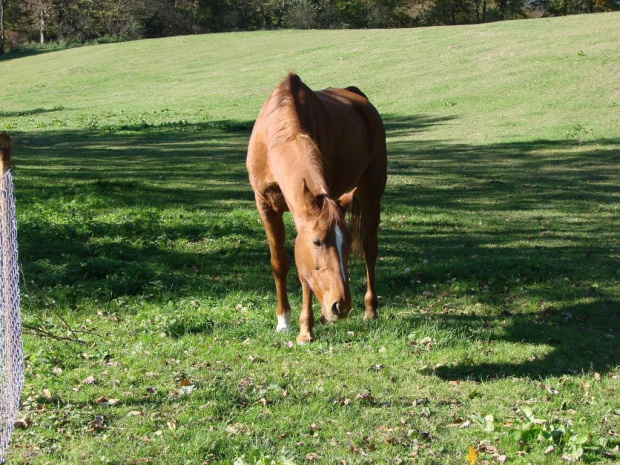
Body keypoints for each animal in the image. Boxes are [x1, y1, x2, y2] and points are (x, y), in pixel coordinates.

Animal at [247, 71, 388, 340]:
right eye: (317, 242)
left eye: (346, 243)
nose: (341, 306)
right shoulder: (265, 206)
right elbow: (280, 263)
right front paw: (284, 321)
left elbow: (305, 276)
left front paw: (305, 328)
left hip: (371, 190)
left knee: (369, 248)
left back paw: (370, 310)